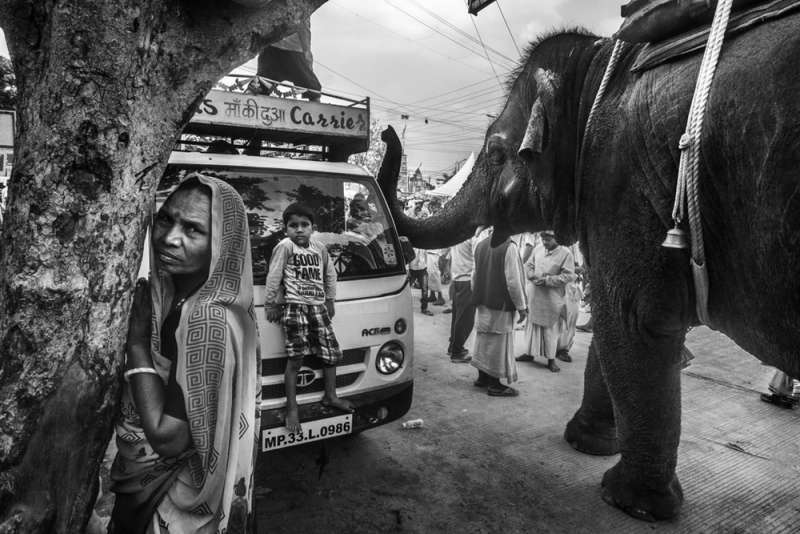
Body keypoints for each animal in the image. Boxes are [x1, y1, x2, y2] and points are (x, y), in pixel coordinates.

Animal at [380, 19, 800, 524]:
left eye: (497, 153)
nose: (386, 131)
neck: (599, 62)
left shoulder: (621, 184)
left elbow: (625, 321)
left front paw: (625, 490)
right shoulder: (628, 194)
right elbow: (624, 321)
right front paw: (611, 471)